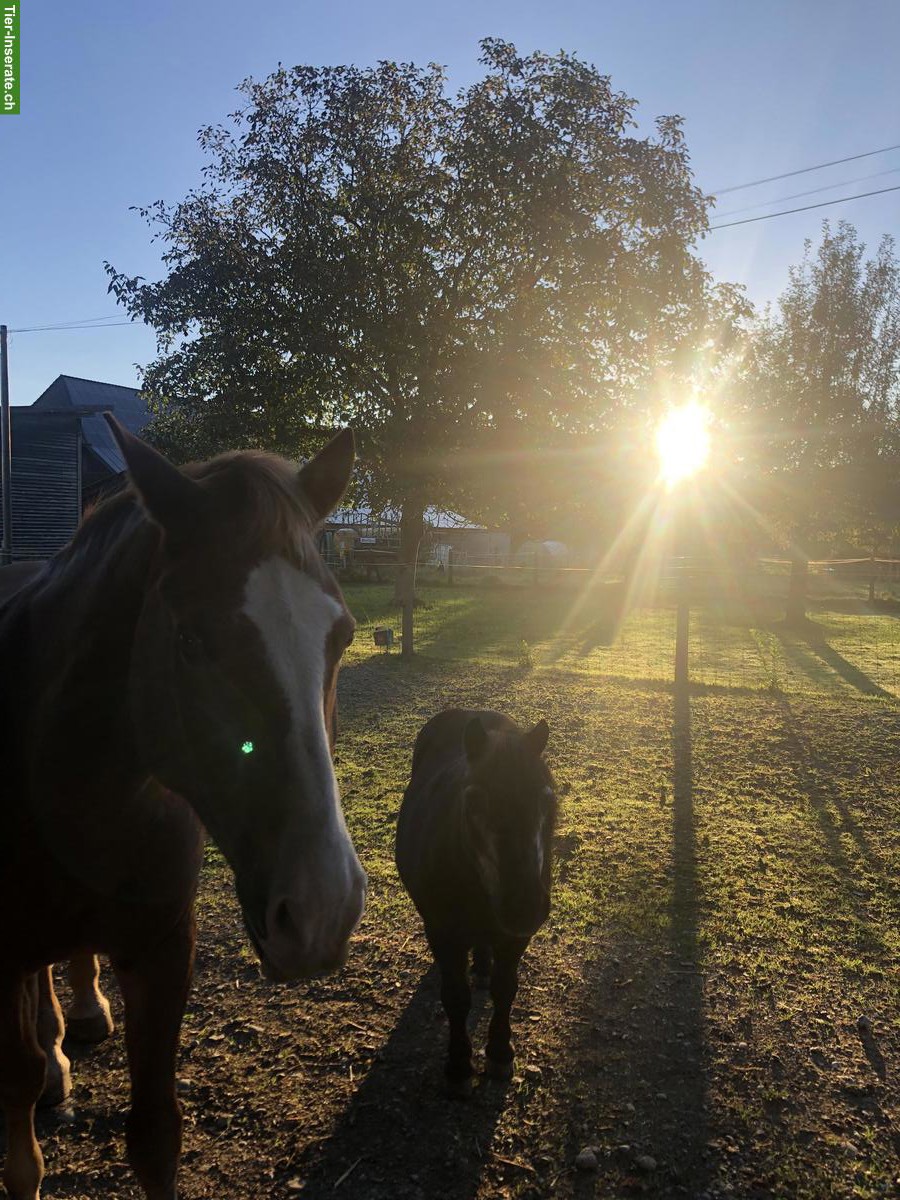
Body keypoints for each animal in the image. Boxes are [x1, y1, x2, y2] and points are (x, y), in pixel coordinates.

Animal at [0, 418, 367, 1200]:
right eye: (192, 639)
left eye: (343, 636)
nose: (322, 909)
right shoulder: (0, 955)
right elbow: (14, 1093)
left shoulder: (164, 947)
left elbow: (156, 1137)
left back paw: (79, 1017)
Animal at [395, 709, 556, 1096]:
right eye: (475, 802)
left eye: (546, 799)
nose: (524, 905)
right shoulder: (443, 933)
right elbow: (455, 997)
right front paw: (458, 1066)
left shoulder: (514, 938)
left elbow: (505, 989)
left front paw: (499, 1053)